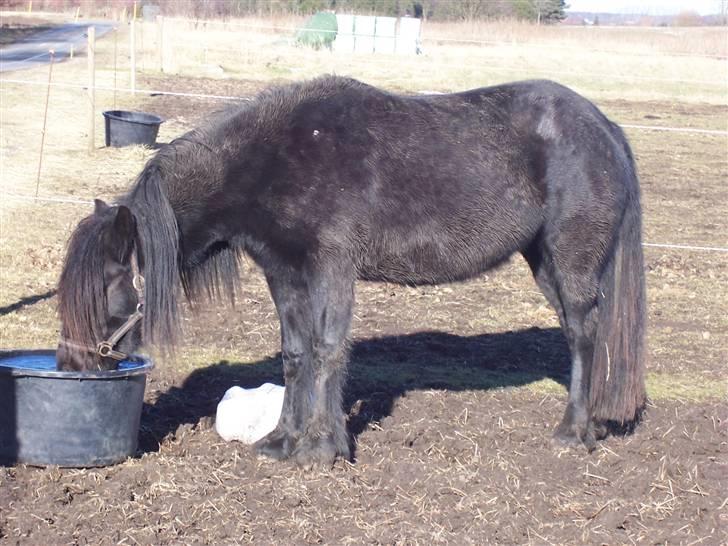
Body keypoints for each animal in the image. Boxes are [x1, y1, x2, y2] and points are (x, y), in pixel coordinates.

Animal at [56, 76, 646, 466]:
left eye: (109, 286)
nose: (72, 365)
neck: (274, 161)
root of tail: (604, 128)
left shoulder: (331, 269)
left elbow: (328, 350)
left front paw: (322, 448)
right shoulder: (284, 274)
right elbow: (296, 354)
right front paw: (281, 441)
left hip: (570, 261)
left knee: (584, 334)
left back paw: (574, 431)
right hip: (542, 261)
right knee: (581, 333)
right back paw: (590, 423)